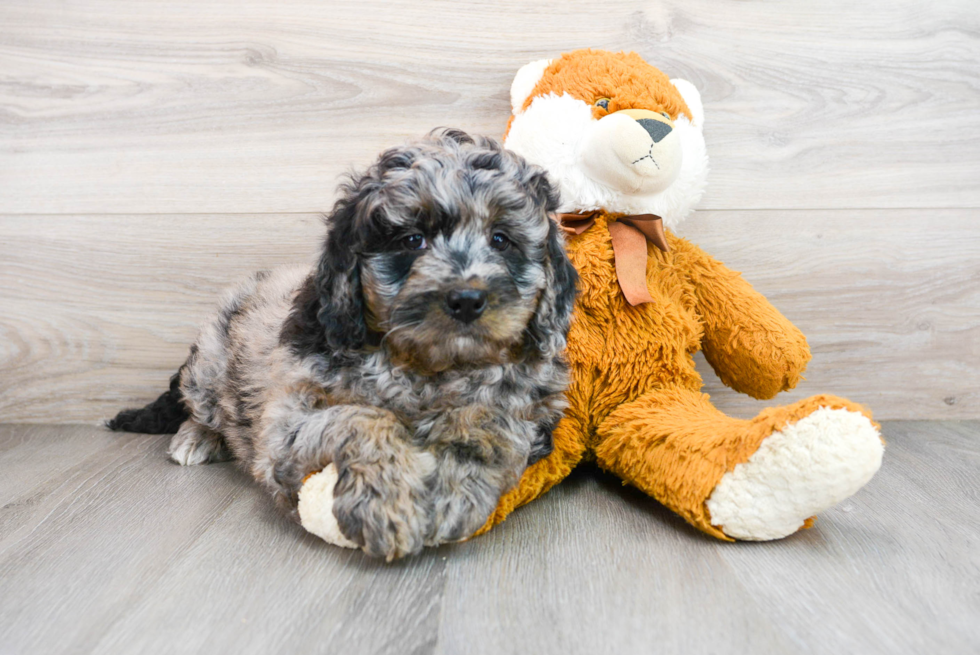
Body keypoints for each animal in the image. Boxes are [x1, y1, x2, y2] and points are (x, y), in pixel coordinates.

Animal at [110, 128, 580, 560]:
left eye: (502, 239)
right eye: (412, 240)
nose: (466, 300)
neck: (429, 369)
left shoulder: (535, 412)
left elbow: (486, 420)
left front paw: (452, 488)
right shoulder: (285, 422)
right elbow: (359, 416)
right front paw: (387, 502)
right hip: (209, 363)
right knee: (202, 407)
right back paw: (196, 439)